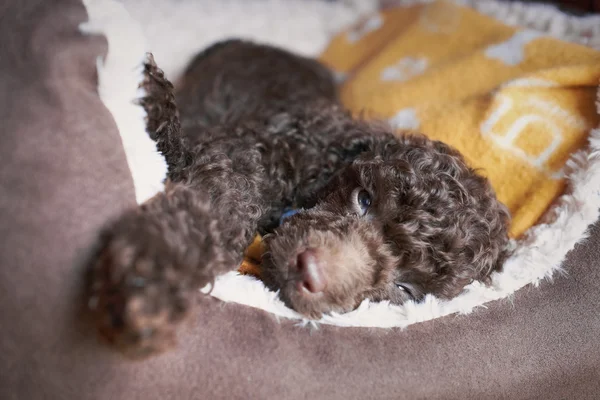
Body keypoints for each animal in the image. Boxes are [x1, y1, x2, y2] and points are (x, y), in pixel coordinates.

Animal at [90, 39, 510, 356]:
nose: (309, 272)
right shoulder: (252, 152)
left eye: (404, 288)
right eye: (364, 199)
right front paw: (151, 272)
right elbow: (215, 199)